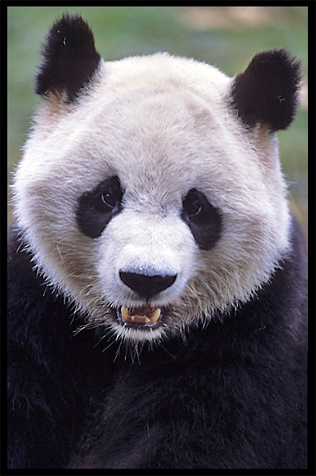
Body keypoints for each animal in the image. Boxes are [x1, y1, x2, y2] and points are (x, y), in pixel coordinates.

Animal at [7, 13, 308, 468]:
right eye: (107, 196)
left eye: (197, 208)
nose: (145, 279)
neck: (128, 343)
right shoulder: (36, 300)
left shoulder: (254, 328)